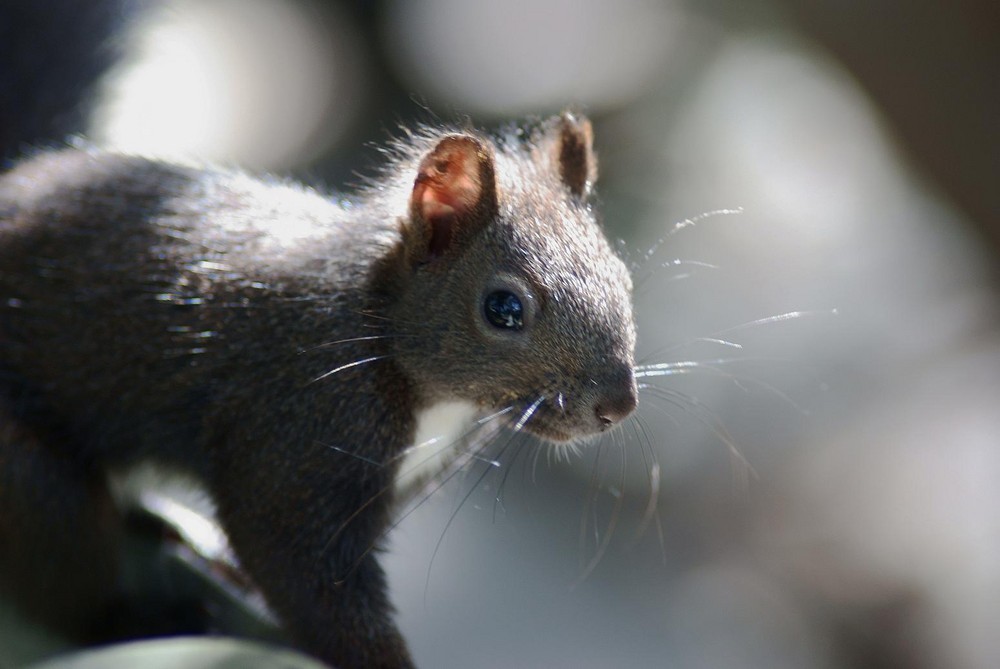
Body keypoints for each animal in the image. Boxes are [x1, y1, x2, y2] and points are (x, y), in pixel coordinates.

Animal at [0, 5, 636, 668]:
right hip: (26, 470)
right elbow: (301, 570)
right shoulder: (298, 426)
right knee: (61, 563)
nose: (617, 405)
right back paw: (142, 617)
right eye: (504, 308)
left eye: (624, 277)